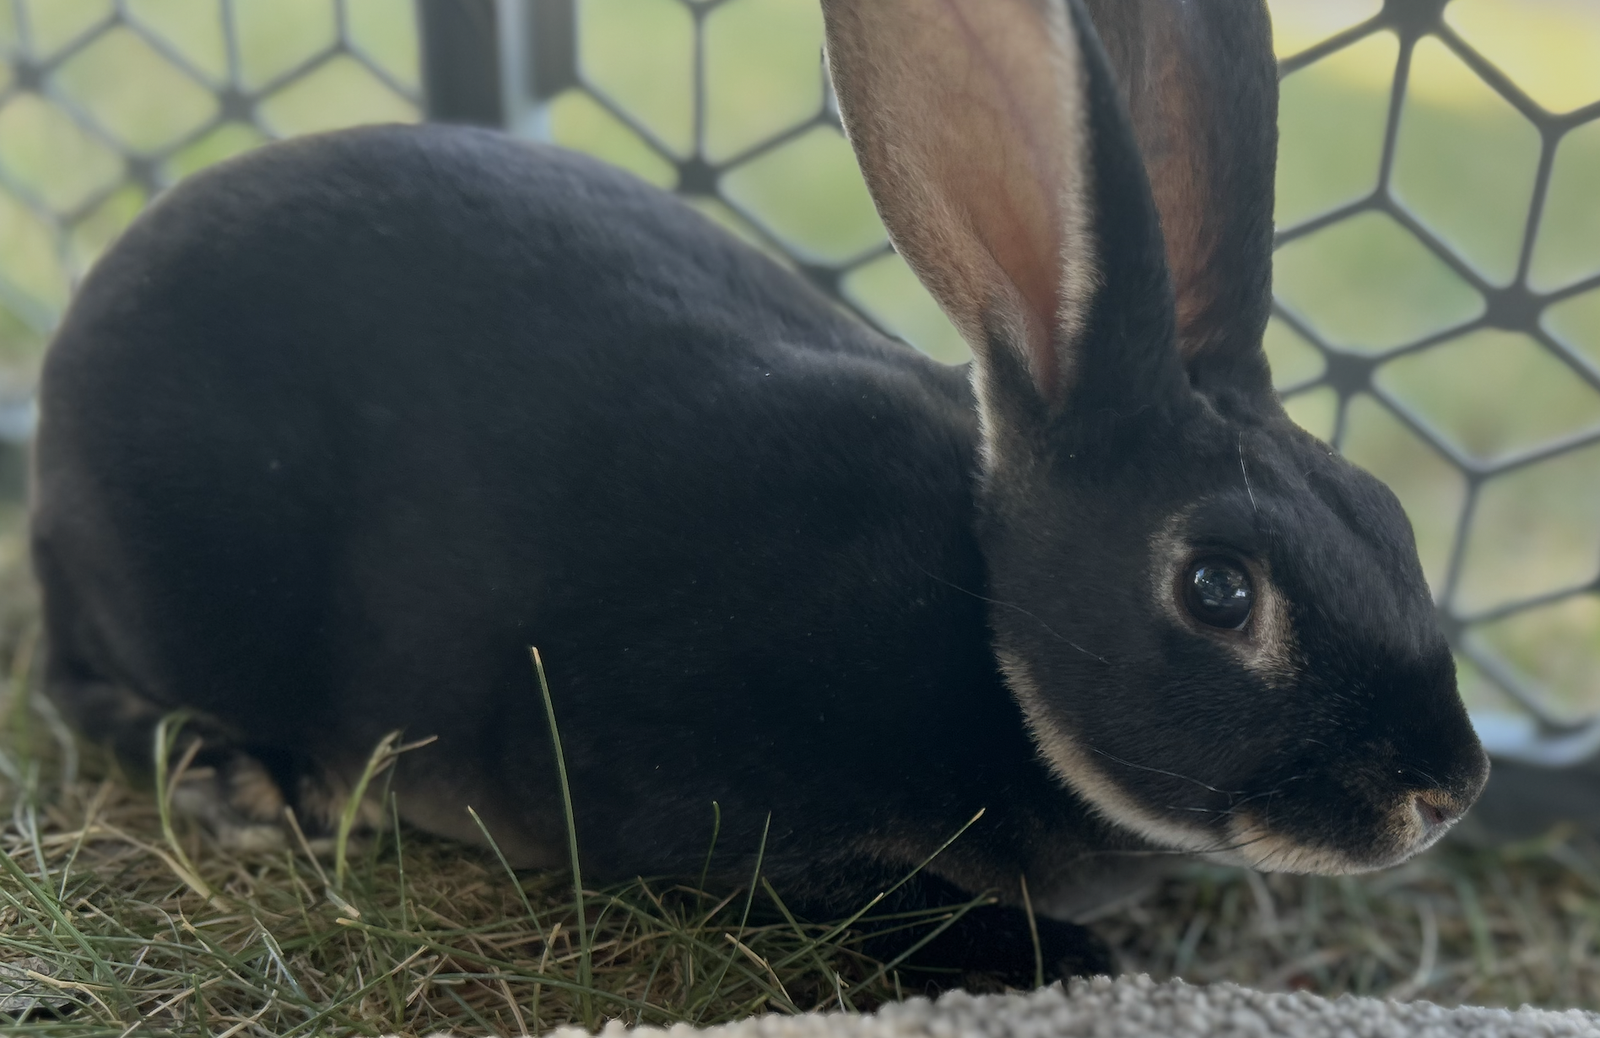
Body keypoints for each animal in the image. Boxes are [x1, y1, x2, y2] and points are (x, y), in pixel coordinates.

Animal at [30, 0, 1488, 986]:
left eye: (1392, 520)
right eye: (1219, 588)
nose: (1451, 787)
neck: (988, 628)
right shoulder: (699, 792)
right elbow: (859, 892)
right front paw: (1062, 956)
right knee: (78, 689)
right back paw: (248, 782)